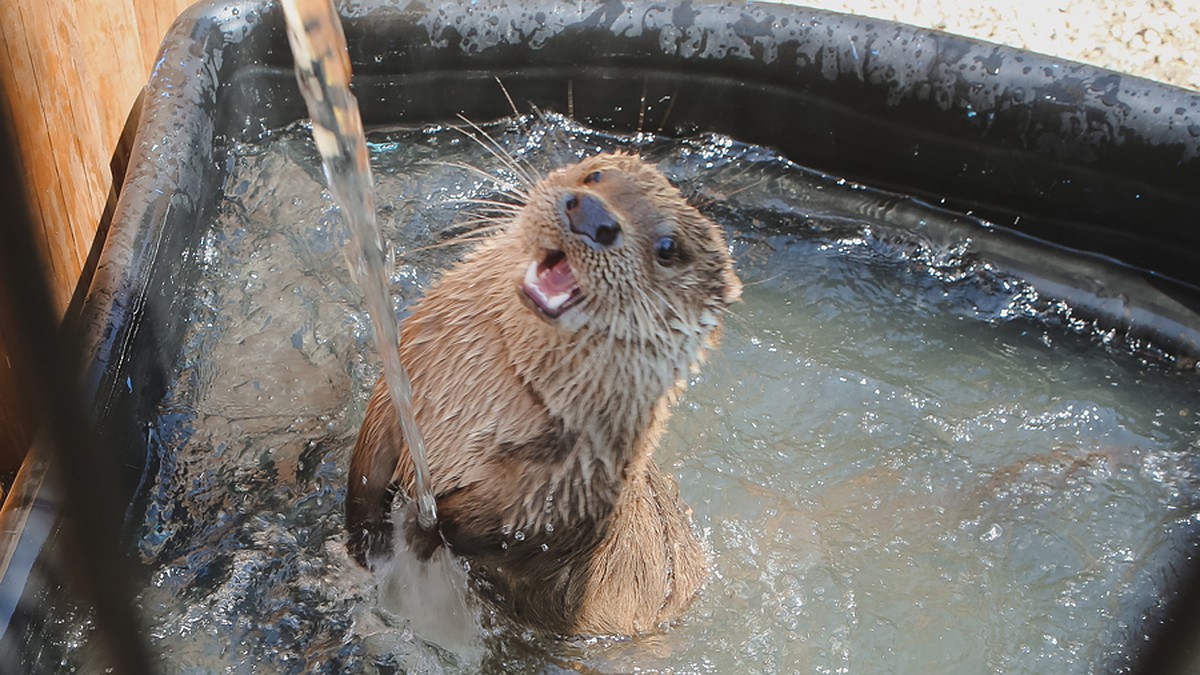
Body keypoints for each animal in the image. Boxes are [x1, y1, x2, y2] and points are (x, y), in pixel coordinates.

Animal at [348, 149, 739, 634]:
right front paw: (367, 537)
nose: (593, 216)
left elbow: (507, 534)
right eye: (596, 175)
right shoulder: (403, 382)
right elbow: (367, 462)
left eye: (669, 247)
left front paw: (424, 531)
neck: (476, 407)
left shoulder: (565, 492)